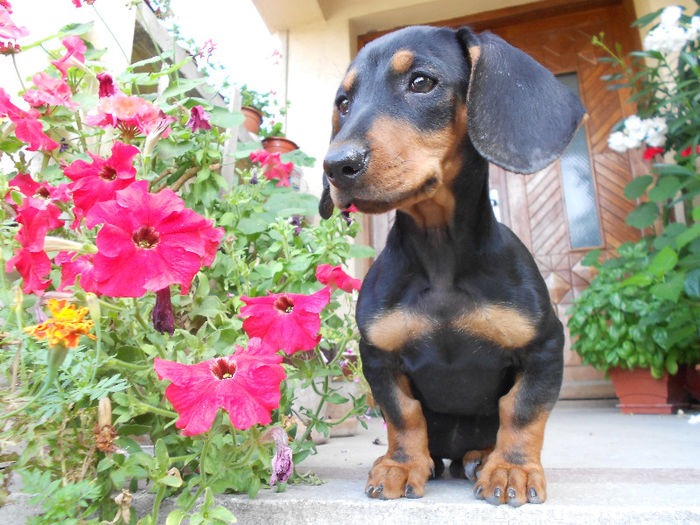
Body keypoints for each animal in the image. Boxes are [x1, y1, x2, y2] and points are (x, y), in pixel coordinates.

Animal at [320, 25, 584, 508]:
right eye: (344, 102)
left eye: (422, 82)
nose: (336, 165)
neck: (440, 258)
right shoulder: (379, 356)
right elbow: (402, 416)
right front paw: (401, 465)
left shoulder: (545, 346)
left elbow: (522, 411)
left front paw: (513, 470)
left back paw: (481, 458)